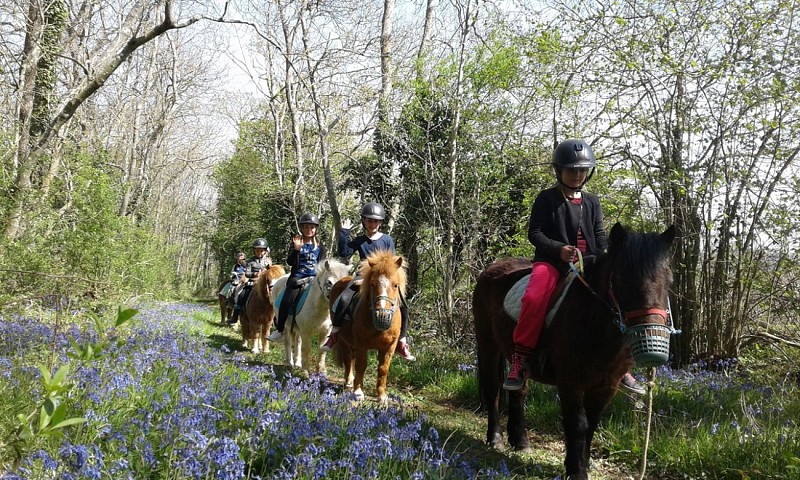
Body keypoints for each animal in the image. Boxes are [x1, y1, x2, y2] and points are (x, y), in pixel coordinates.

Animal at [330, 249, 410, 404]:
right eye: (372, 284)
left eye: (395, 285)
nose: (382, 315)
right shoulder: (362, 344)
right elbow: (361, 365)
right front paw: (358, 392)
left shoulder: (389, 347)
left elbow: (383, 369)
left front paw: (382, 396)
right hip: (344, 339)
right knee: (348, 358)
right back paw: (349, 382)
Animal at [476, 225, 676, 480]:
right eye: (622, 278)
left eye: (669, 280)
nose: (651, 333)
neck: (593, 322)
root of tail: (491, 269)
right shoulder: (570, 382)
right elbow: (577, 424)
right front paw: (576, 470)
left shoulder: (606, 385)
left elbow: (592, 423)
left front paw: (583, 464)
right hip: (488, 346)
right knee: (493, 390)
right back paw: (495, 439)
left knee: (518, 390)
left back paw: (520, 442)